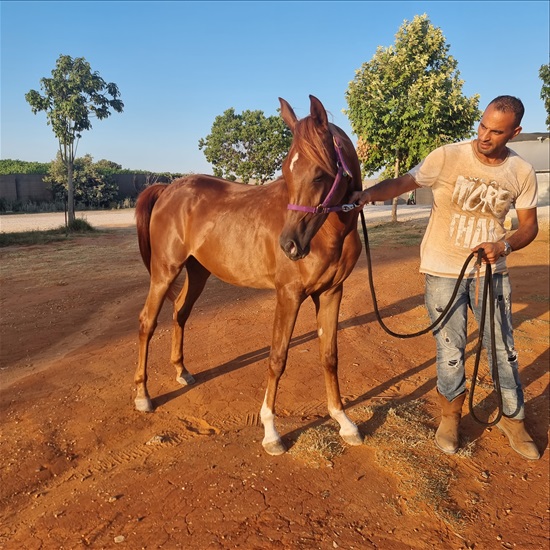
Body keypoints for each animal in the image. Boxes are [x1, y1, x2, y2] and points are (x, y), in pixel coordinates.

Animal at [134, 96, 366, 458]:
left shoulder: (332, 292)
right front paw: (271, 432)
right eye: (286, 170)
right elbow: (277, 358)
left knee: (180, 312)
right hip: (164, 271)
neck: (330, 232)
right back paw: (143, 396)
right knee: (147, 322)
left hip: (198, 272)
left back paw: (182, 371)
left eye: (319, 175)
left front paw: (344, 421)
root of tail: (168, 188)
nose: (290, 245)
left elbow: (329, 356)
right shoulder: (289, 294)